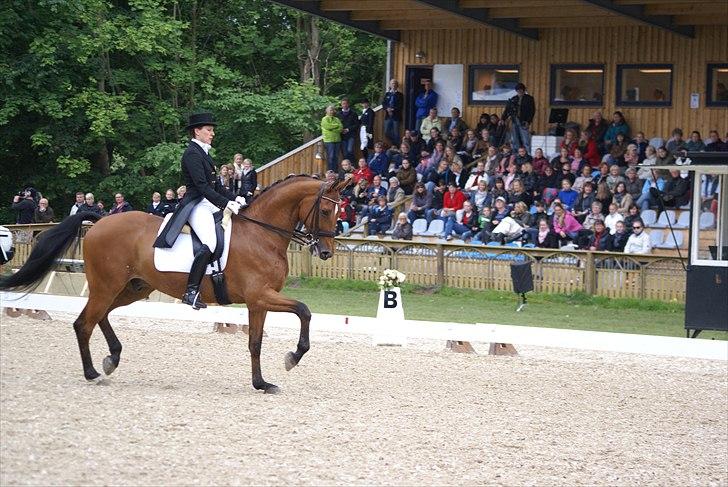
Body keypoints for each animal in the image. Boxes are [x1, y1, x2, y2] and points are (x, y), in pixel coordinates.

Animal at [2, 175, 350, 392]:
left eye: (340, 211)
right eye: (325, 209)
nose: (325, 252)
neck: (262, 234)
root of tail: (100, 221)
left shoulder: (259, 301)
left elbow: (256, 342)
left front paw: (262, 383)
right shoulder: (260, 296)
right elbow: (304, 310)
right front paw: (293, 357)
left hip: (132, 288)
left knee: (101, 316)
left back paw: (112, 358)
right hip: (106, 285)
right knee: (84, 322)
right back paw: (93, 373)